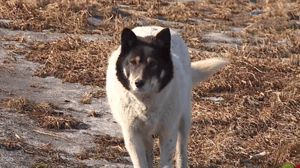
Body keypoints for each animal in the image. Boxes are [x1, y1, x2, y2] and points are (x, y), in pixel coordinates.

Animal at [105, 26, 227, 168]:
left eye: (153, 63)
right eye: (132, 62)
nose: (138, 83)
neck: (146, 103)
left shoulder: (168, 131)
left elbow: (166, 161)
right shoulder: (132, 134)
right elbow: (141, 162)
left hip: (184, 119)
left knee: (181, 150)